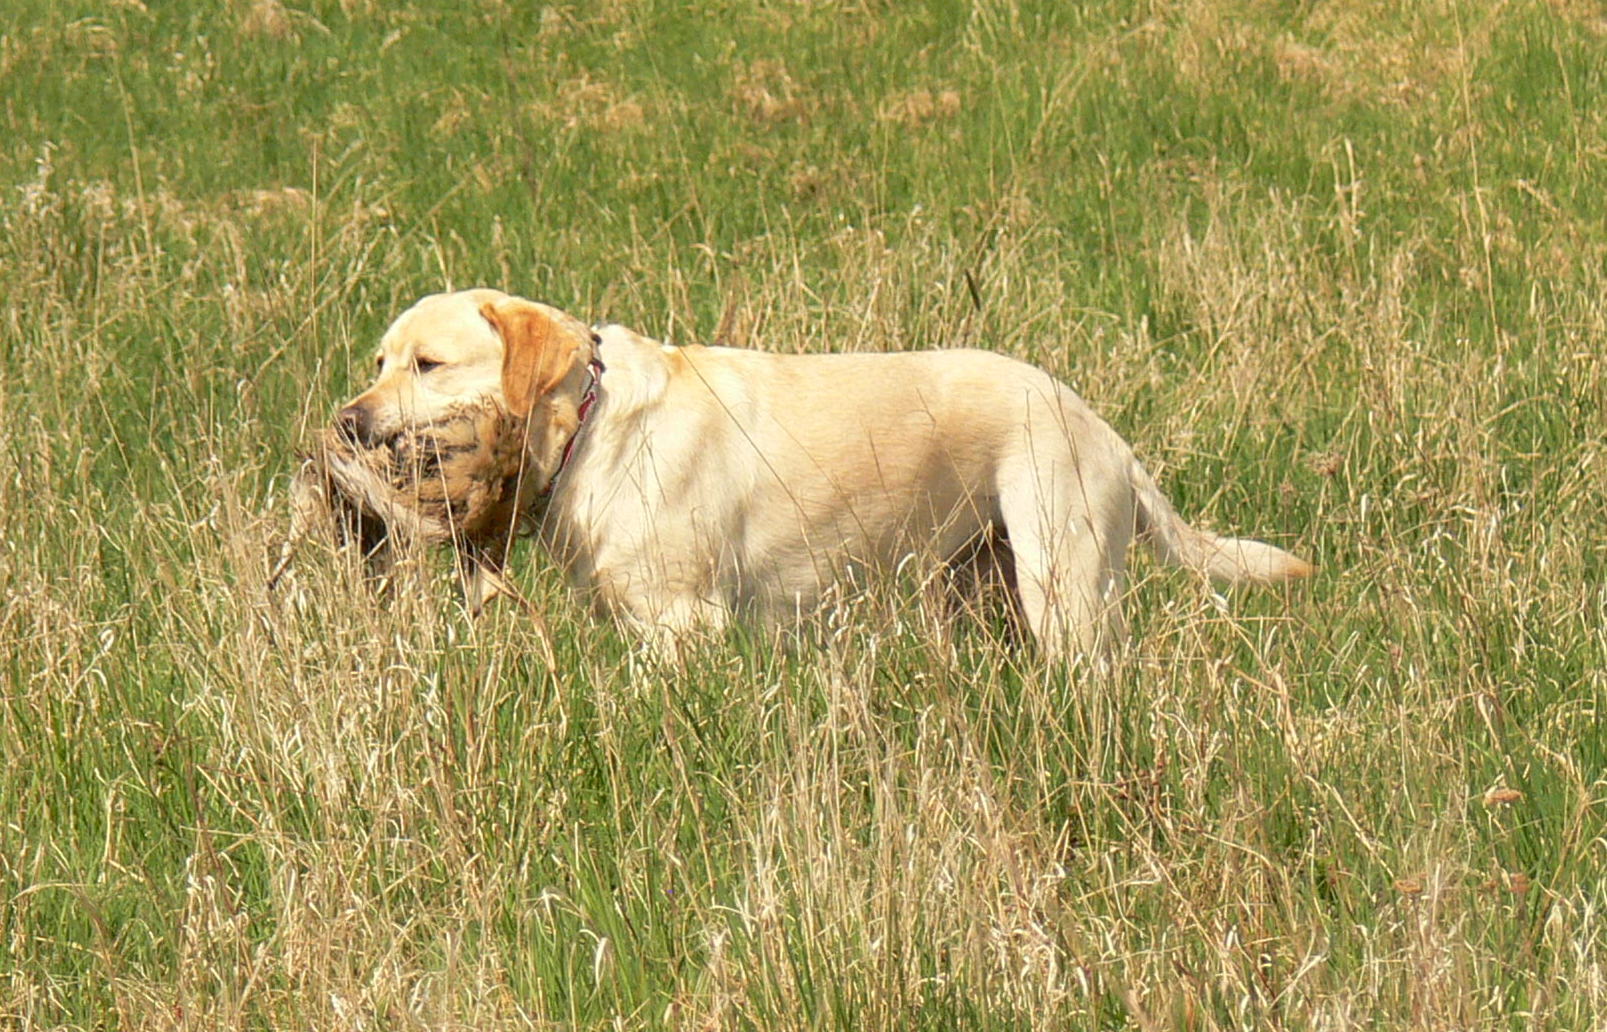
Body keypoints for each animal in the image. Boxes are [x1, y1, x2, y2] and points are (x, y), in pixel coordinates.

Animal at [335, 287, 1304, 659]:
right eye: (378, 360)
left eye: (427, 365)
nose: (347, 422)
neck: (594, 426)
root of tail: (1106, 433)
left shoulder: (683, 626)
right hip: (978, 592)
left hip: (1062, 587)